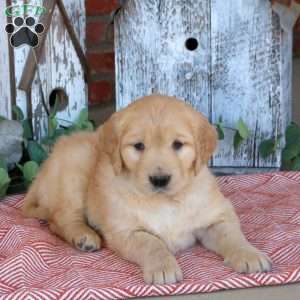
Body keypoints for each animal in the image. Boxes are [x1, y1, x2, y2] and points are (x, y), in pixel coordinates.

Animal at [22, 95, 272, 284]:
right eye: (139, 146)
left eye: (178, 145)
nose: (159, 179)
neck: (164, 201)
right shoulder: (125, 231)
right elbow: (152, 243)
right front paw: (163, 267)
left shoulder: (217, 216)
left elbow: (233, 235)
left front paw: (250, 255)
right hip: (76, 166)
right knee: (59, 219)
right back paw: (84, 236)